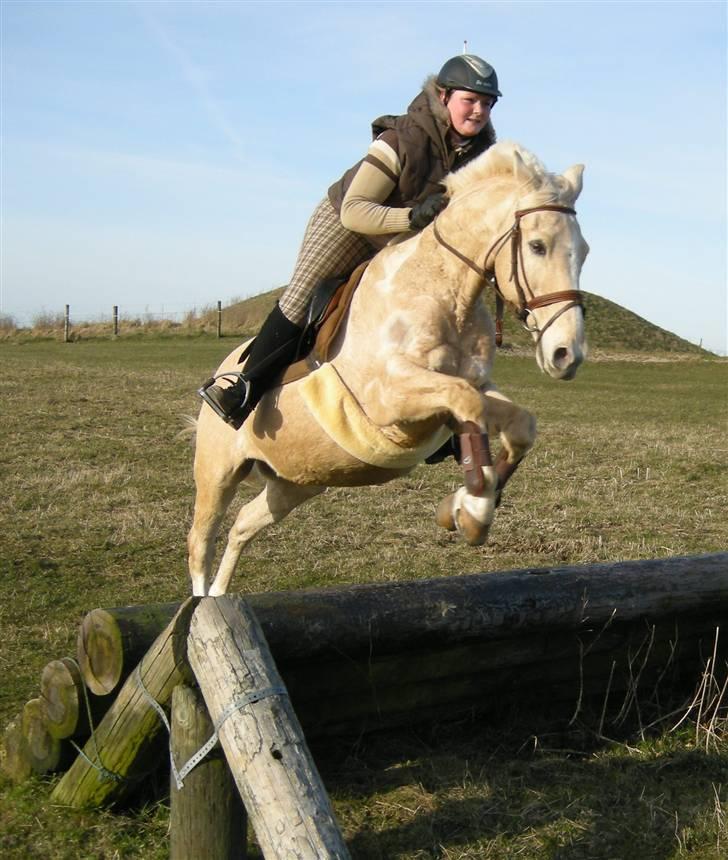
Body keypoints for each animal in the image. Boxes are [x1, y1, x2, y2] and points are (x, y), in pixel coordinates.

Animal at [185, 143, 588, 596]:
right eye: (537, 246)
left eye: (584, 251)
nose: (567, 354)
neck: (443, 290)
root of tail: (225, 367)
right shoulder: (388, 400)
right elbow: (466, 402)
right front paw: (472, 508)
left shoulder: (473, 387)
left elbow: (515, 423)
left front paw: (468, 505)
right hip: (218, 470)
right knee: (201, 541)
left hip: (295, 484)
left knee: (241, 527)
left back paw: (220, 597)